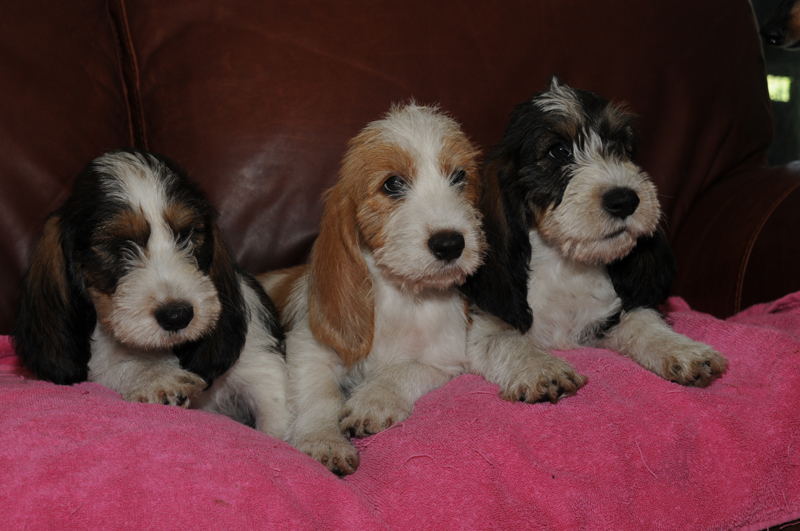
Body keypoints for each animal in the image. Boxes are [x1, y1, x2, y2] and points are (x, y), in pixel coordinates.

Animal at [13, 148, 288, 438]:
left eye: (188, 234)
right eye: (116, 247)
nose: (177, 316)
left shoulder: (261, 371)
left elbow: (275, 423)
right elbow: (115, 367)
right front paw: (157, 377)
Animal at [262, 103, 588, 474]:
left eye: (459, 176)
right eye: (392, 184)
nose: (450, 244)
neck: (403, 295)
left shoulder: (443, 360)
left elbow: (404, 370)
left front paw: (372, 400)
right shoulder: (310, 351)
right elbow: (320, 397)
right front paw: (323, 441)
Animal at [462, 77, 732, 388]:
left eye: (621, 146)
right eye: (559, 151)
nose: (624, 200)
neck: (565, 265)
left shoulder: (607, 318)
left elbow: (642, 320)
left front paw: (685, 350)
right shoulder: (481, 329)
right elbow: (505, 342)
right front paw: (542, 369)